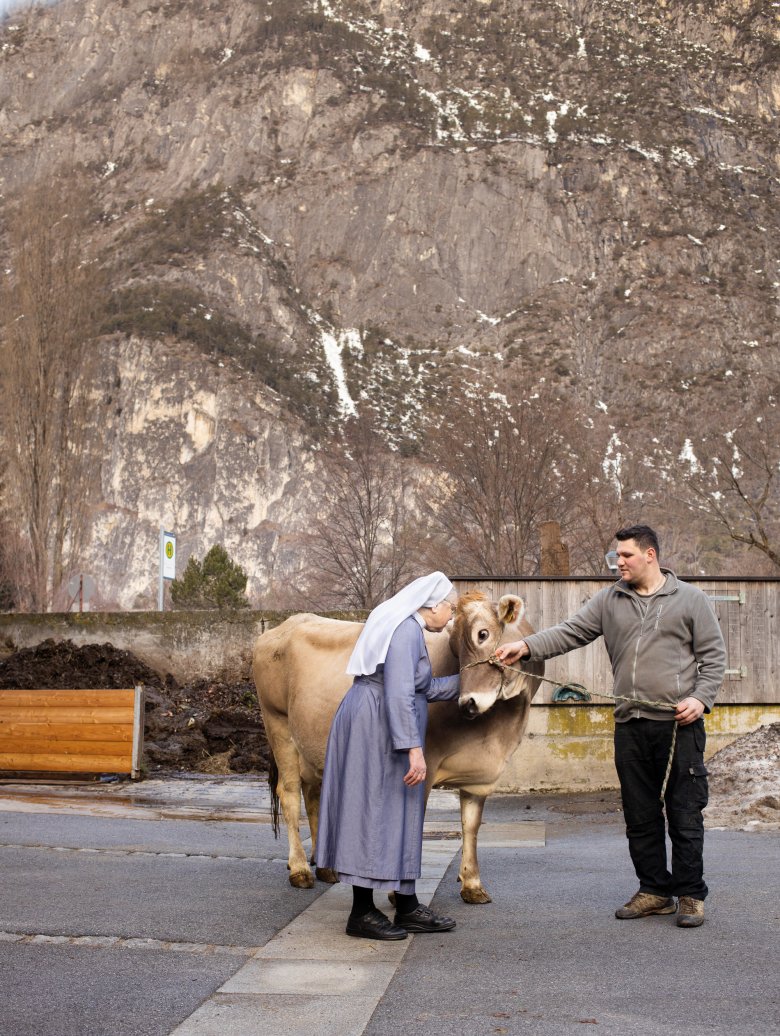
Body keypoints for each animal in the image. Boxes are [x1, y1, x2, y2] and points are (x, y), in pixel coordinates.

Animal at [252, 596, 538, 903]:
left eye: (482, 634)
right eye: (454, 645)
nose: (468, 702)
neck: (497, 730)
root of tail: (285, 624)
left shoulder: (479, 775)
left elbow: (471, 826)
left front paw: (472, 884)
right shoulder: (424, 766)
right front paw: (398, 894)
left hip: (312, 742)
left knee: (314, 794)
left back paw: (324, 867)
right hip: (278, 724)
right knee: (290, 793)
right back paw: (300, 869)